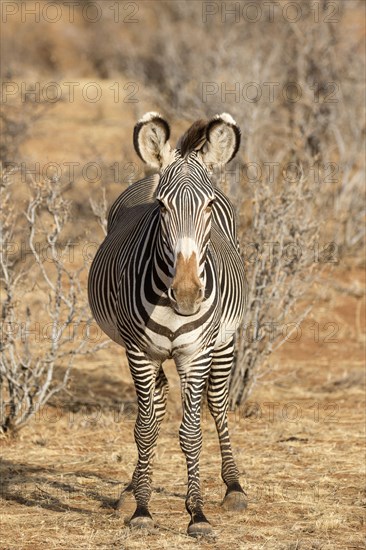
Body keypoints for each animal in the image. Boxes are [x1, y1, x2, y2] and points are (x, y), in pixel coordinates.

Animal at [88, 112, 247, 540]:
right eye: (161, 207)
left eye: (208, 207)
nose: (188, 294)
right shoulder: (139, 351)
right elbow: (144, 428)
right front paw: (142, 508)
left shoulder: (196, 353)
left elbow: (191, 432)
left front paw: (198, 514)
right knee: (156, 406)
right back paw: (131, 488)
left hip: (225, 341)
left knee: (218, 403)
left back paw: (234, 486)